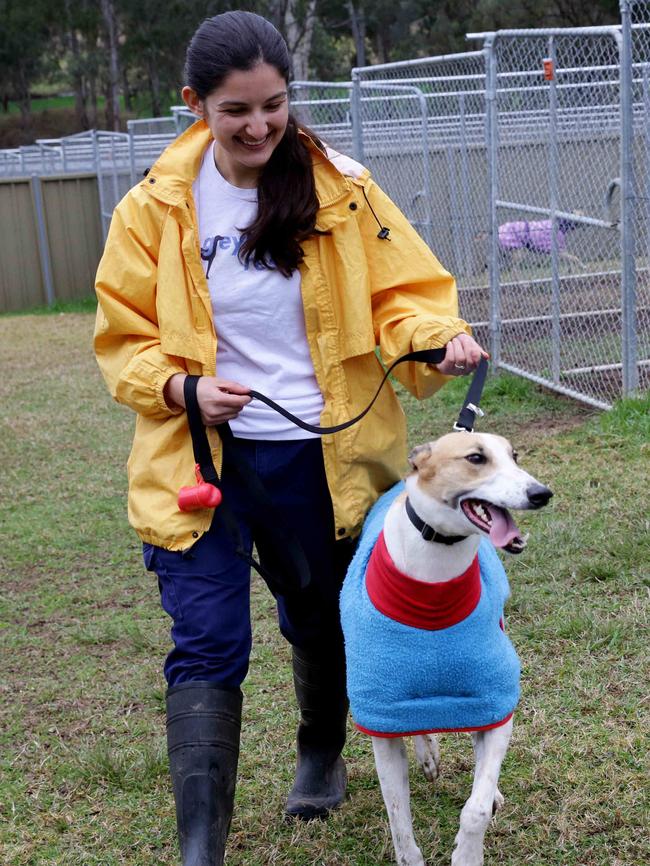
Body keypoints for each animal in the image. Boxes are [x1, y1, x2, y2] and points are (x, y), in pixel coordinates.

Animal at [340, 430, 552, 864]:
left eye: (515, 456)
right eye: (475, 458)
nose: (541, 493)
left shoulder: (492, 696)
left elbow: (476, 805)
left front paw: (468, 852)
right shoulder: (383, 712)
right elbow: (398, 816)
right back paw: (428, 756)